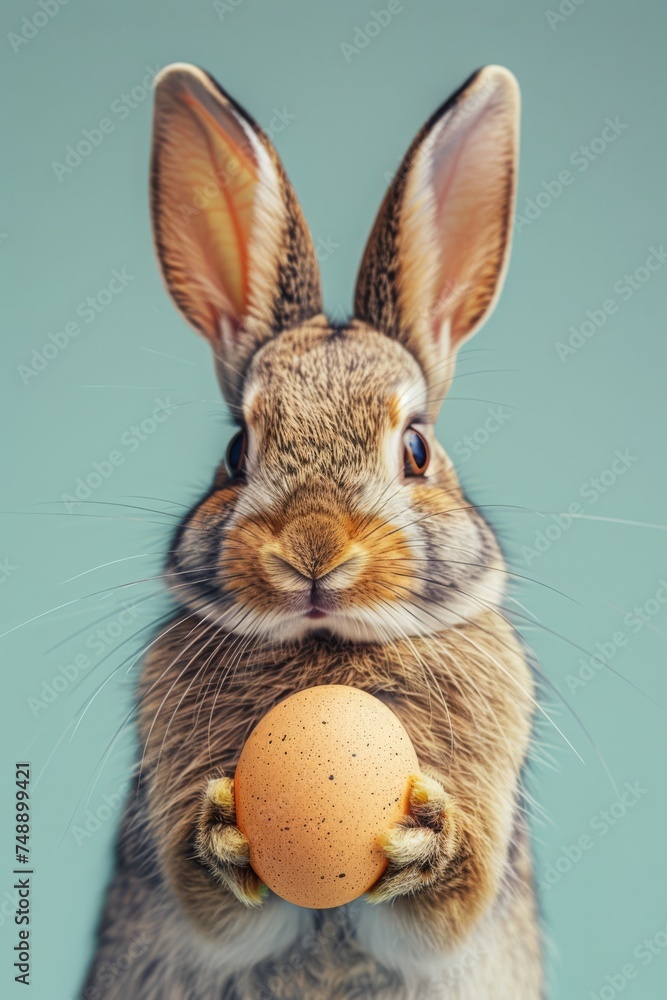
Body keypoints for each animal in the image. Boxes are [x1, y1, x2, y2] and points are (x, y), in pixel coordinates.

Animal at [80, 63, 544, 1000]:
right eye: (235, 449)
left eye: (416, 449)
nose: (313, 552)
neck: (326, 650)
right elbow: (216, 908)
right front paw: (223, 830)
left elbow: (442, 908)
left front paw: (426, 837)